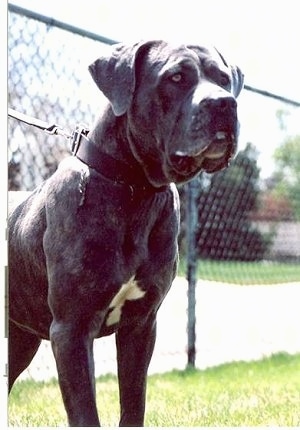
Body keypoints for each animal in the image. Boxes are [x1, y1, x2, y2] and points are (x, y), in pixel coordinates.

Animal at [8, 40, 244, 426]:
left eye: (224, 79)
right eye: (175, 77)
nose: (225, 103)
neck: (135, 190)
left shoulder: (141, 325)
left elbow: (134, 401)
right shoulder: (71, 330)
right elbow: (85, 413)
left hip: (22, 337)